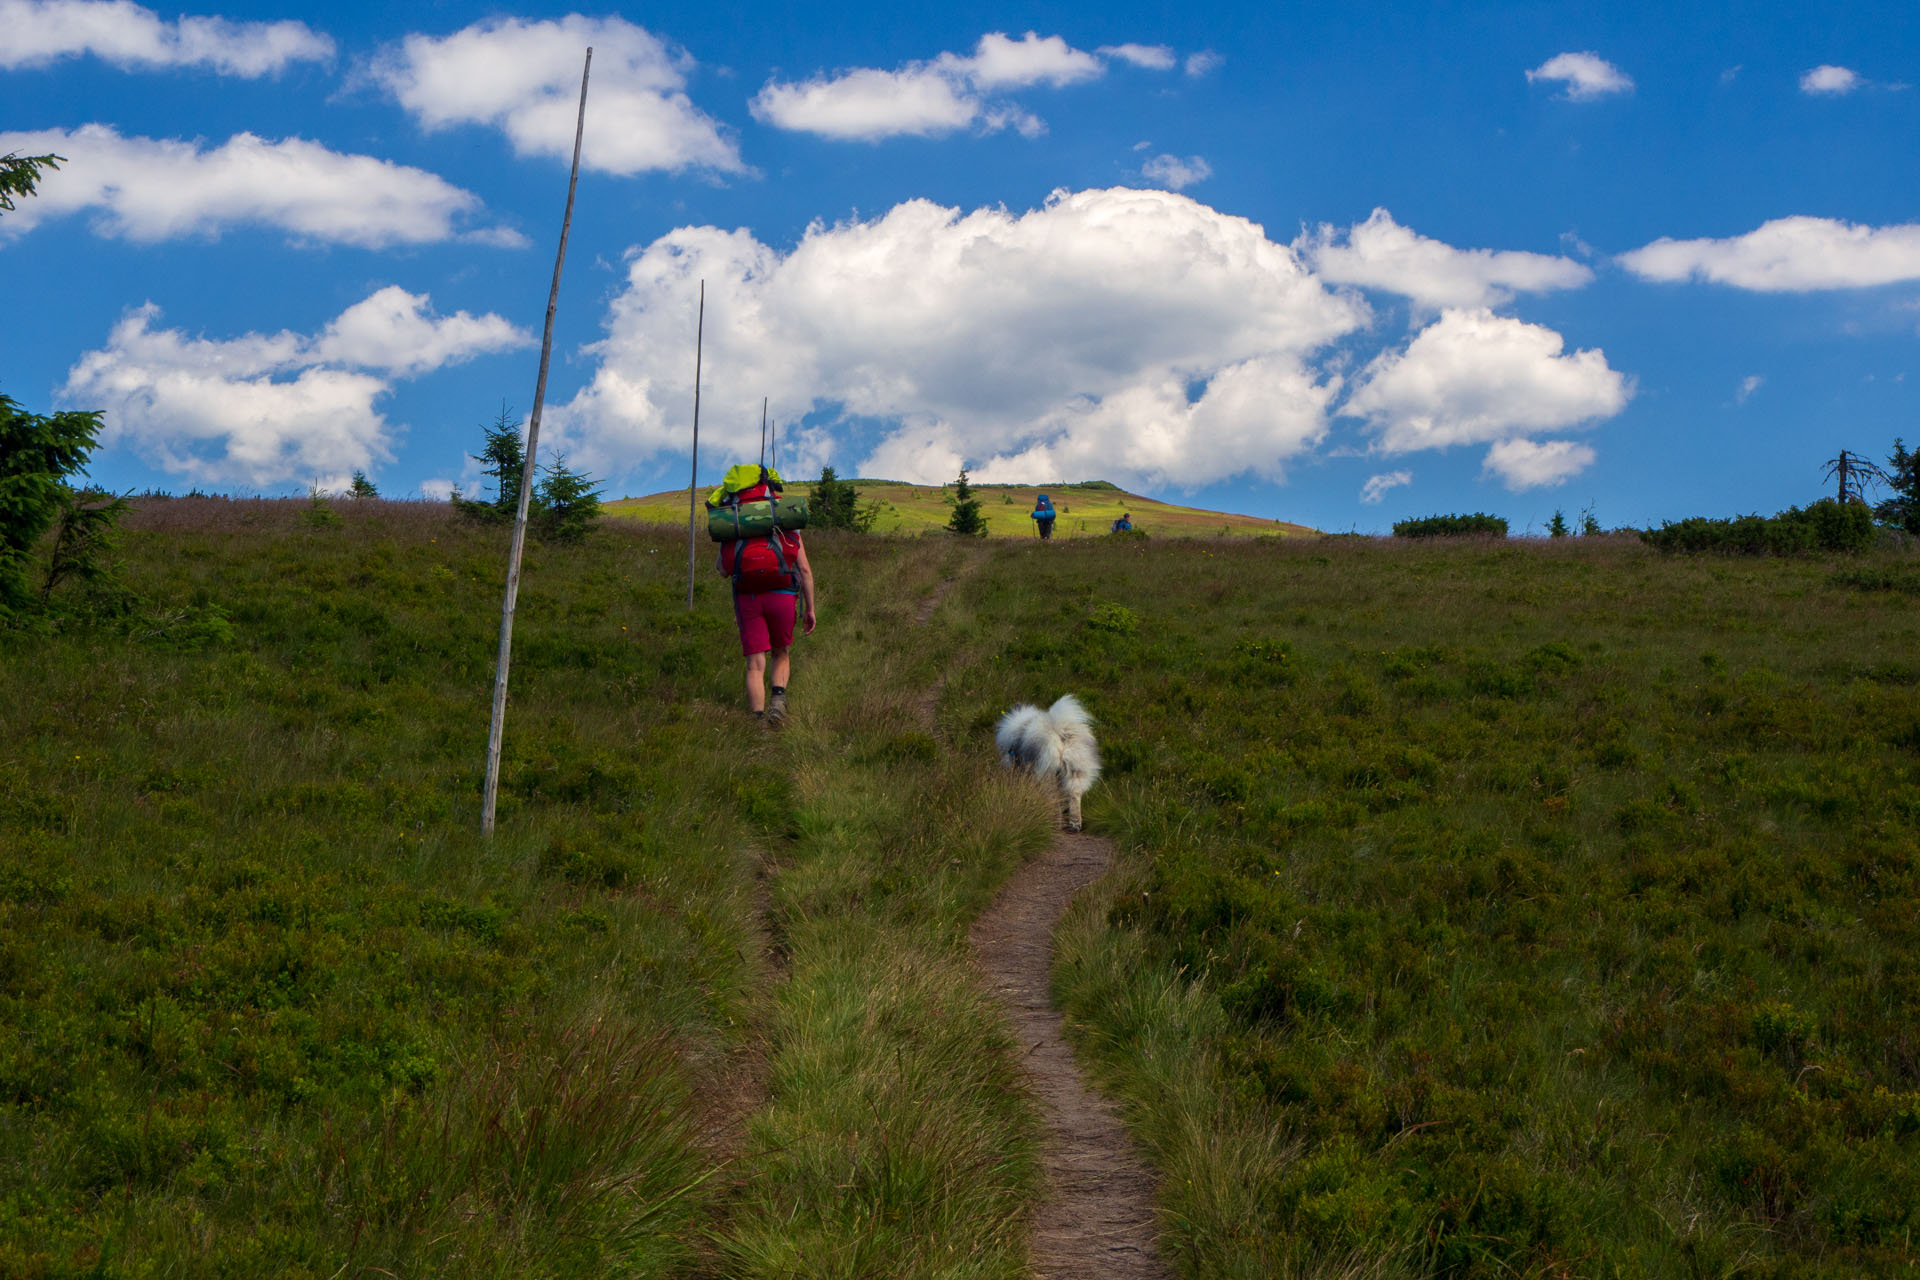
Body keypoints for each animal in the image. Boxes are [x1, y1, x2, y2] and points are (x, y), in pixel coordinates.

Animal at [998, 694, 1105, 836]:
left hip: (1048, 774)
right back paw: (1075, 825)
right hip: (1076, 771)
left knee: (1055, 800)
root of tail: (1061, 734)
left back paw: (1056, 824)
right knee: (1074, 797)